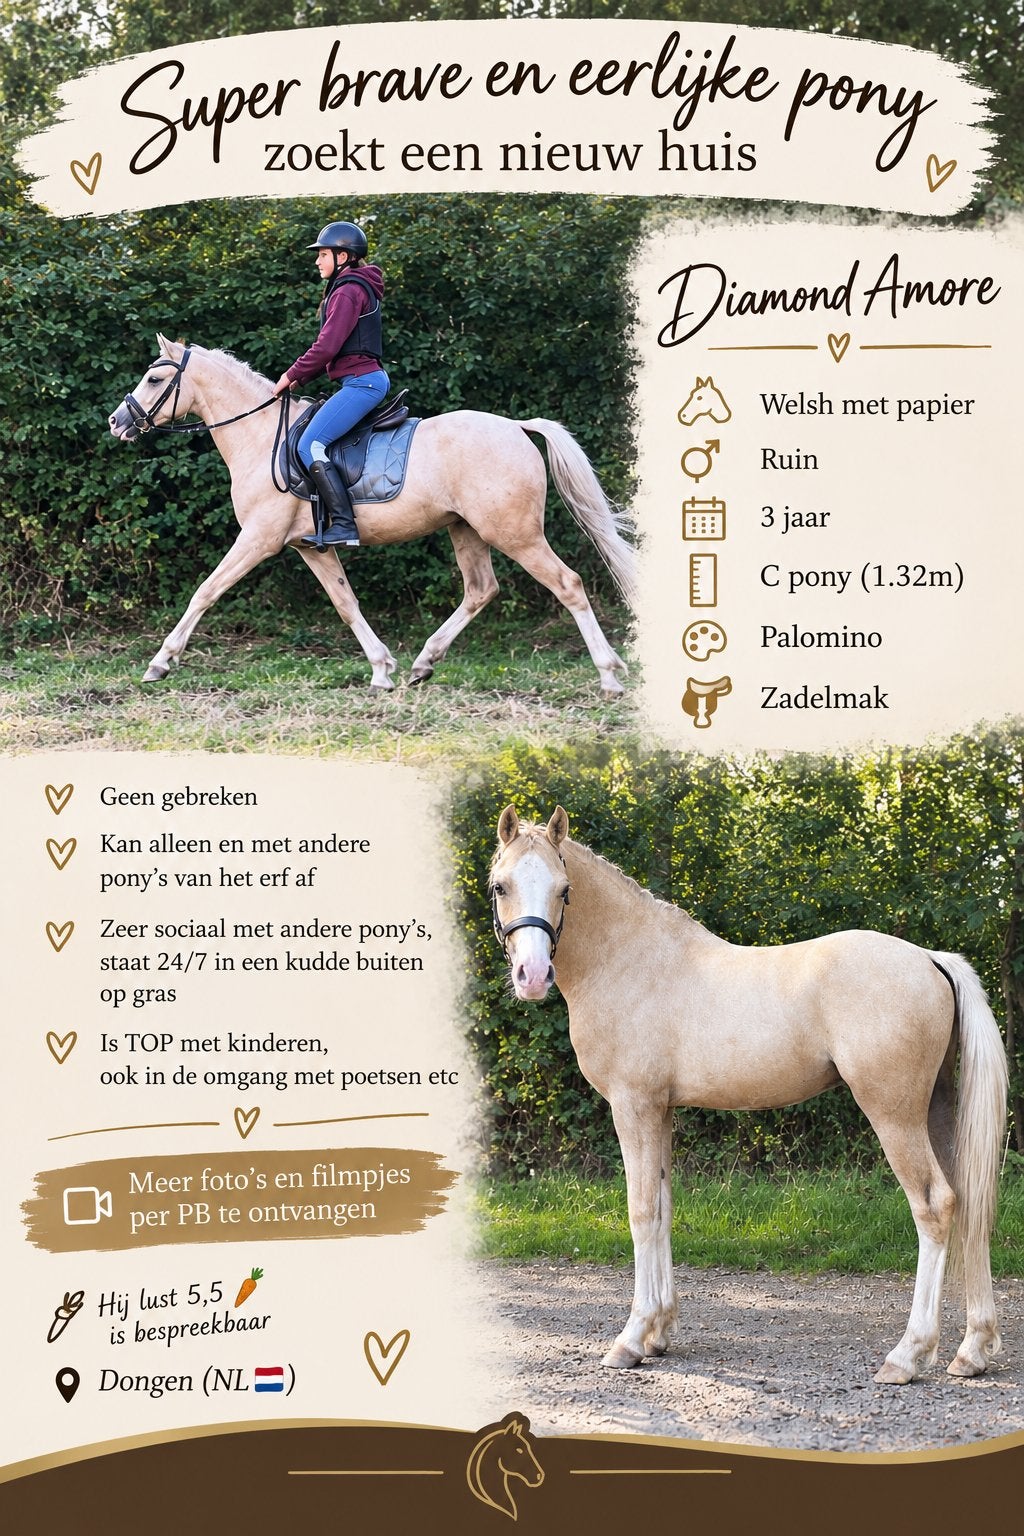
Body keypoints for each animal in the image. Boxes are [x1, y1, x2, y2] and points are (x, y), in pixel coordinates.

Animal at [107, 337, 636, 695]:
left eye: (155, 379)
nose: (117, 422)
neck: (260, 437)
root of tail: (516, 427)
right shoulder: (308, 547)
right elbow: (346, 603)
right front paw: (382, 668)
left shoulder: (258, 538)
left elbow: (205, 591)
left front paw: (160, 662)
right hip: (465, 529)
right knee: (481, 590)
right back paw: (425, 662)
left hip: (515, 533)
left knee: (567, 584)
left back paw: (609, 675)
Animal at [489, 805, 1009, 1386]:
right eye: (500, 885)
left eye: (564, 889)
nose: (532, 976)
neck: (630, 961)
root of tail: (929, 958)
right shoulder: (661, 1111)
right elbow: (665, 1208)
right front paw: (660, 1334)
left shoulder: (634, 1106)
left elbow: (641, 1210)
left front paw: (631, 1338)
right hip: (937, 1110)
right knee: (969, 1201)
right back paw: (973, 1350)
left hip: (894, 1115)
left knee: (935, 1206)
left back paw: (908, 1354)